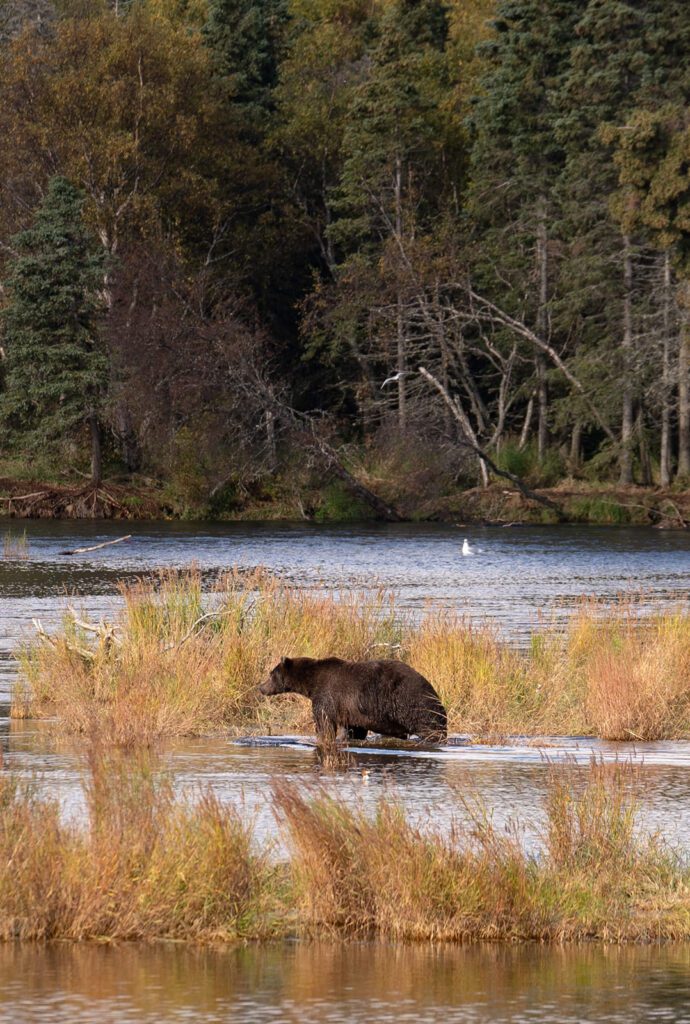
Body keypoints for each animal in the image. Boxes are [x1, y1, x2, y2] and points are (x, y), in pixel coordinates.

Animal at [257, 655, 446, 745]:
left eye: (271, 674)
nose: (261, 687)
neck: (311, 682)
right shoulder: (350, 710)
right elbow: (353, 729)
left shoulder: (327, 697)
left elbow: (324, 723)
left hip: (412, 703)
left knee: (429, 728)